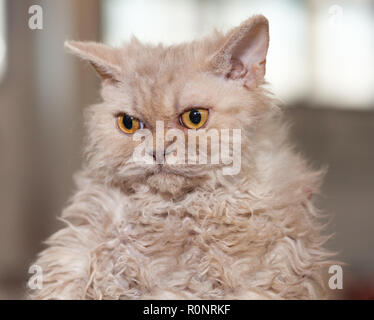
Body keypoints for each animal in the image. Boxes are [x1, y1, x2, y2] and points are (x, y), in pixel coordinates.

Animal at [30, 15, 334, 300]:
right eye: (129, 124)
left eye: (194, 118)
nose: (158, 150)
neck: (172, 211)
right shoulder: (76, 249)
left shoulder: (264, 276)